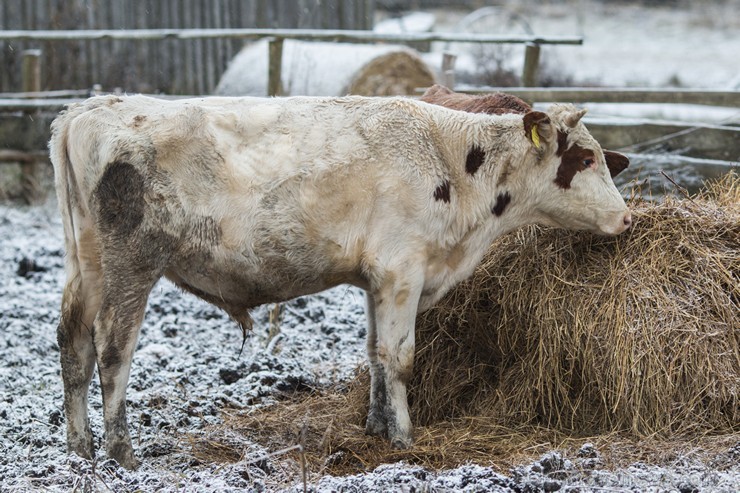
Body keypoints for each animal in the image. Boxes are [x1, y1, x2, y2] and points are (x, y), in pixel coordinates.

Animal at [49, 94, 632, 468]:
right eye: (584, 158)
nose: (627, 219)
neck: (449, 159)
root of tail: (90, 108)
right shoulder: (402, 269)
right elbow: (400, 358)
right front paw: (404, 439)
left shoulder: (377, 279)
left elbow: (376, 354)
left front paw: (374, 427)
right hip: (132, 265)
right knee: (113, 348)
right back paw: (121, 451)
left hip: (87, 263)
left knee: (73, 343)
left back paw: (79, 447)